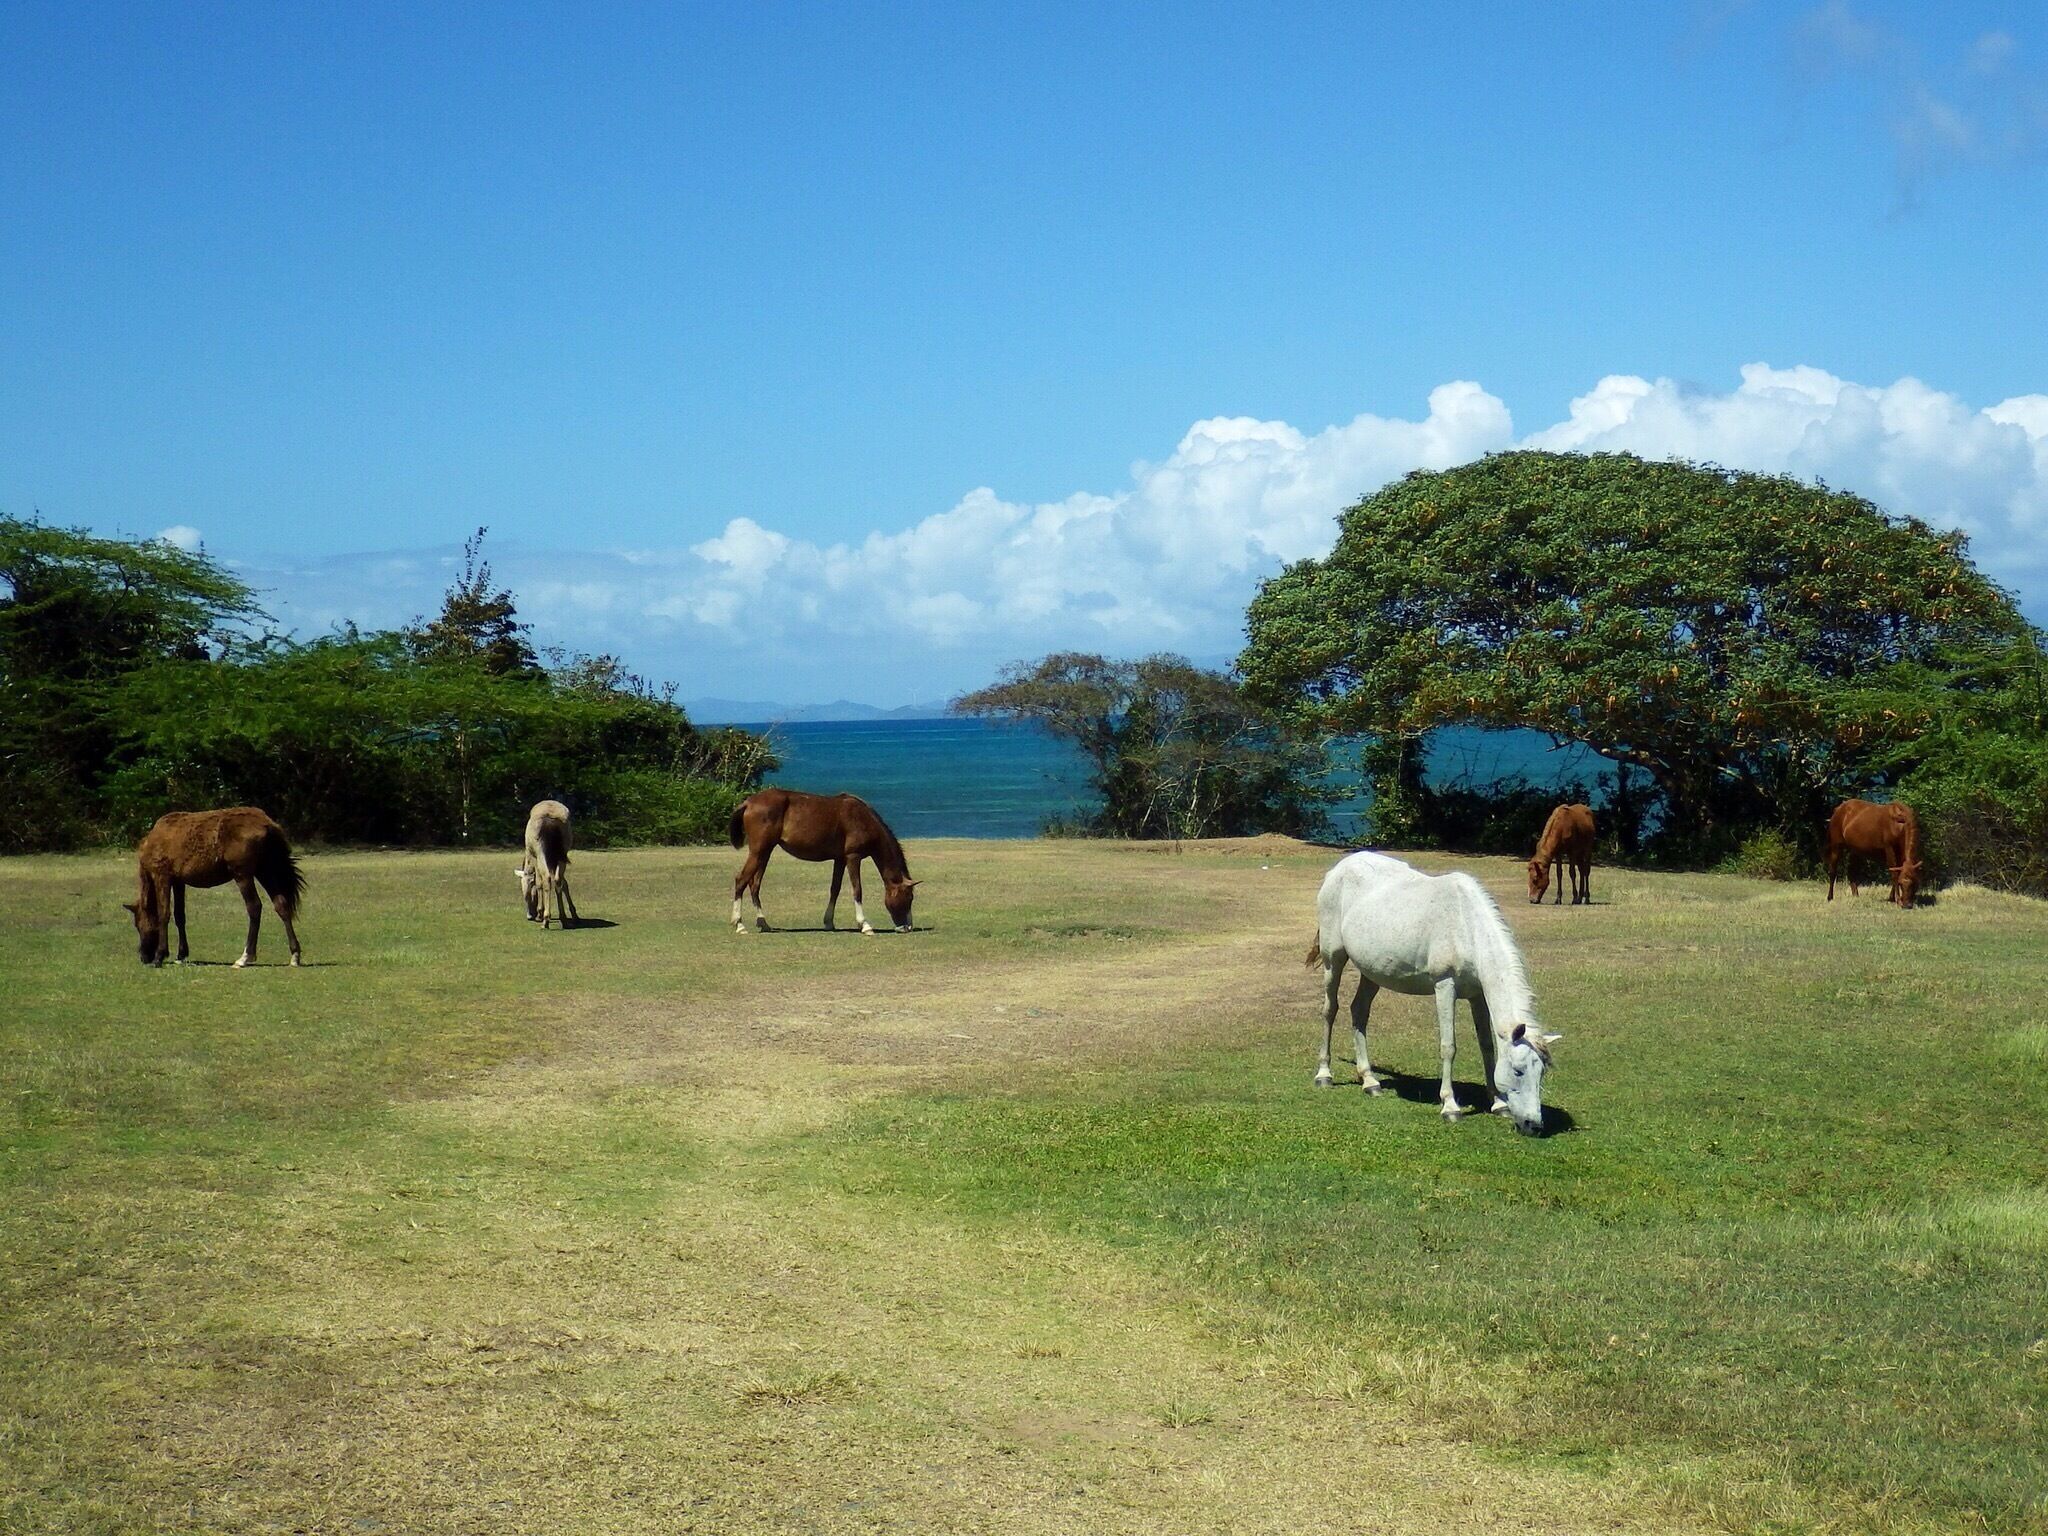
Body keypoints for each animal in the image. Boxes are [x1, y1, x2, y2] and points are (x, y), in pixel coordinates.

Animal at [124, 807, 305, 968]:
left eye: (138, 924)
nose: (144, 956)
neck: (153, 842)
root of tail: (267, 824)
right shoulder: (178, 881)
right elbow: (179, 916)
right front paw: (181, 954)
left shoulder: (162, 876)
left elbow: (164, 914)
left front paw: (160, 956)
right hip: (265, 870)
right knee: (281, 905)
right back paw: (294, 955)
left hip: (243, 874)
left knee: (254, 907)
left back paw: (245, 957)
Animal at [515, 800, 579, 929]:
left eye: (529, 892)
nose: (530, 916)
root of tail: (551, 817)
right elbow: (564, 884)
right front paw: (574, 914)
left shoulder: (535, 859)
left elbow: (539, 883)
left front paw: (540, 913)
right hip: (562, 854)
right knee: (558, 880)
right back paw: (563, 918)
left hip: (540, 853)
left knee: (547, 879)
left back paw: (545, 920)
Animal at [729, 788, 918, 935]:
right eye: (909, 898)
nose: (908, 927)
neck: (863, 818)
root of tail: (749, 802)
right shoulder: (853, 857)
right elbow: (857, 890)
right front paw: (864, 925)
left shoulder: (840, 859)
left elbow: (835, 889)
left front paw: (829, 922)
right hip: (758, 852)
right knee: (741, 880)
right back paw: (739, 924)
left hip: (765, 852)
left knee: (754, 884)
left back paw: (763, 923)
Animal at [1308, 850, 1559, 1135]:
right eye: (1518, 1071)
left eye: (1541, 1073)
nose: (1533, 1125)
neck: (1466, 926)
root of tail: (1338, 869)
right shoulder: (1444, 986)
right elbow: (1448, 1046)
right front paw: (1450, 1106)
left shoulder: (1477, 995)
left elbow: (1486, 1045)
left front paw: (1498, 1103)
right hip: (1333, 959)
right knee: (1330, 1010)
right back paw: (1324, 1075)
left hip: (1372, 971)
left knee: (1359, 1012)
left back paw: (1370, 1081)